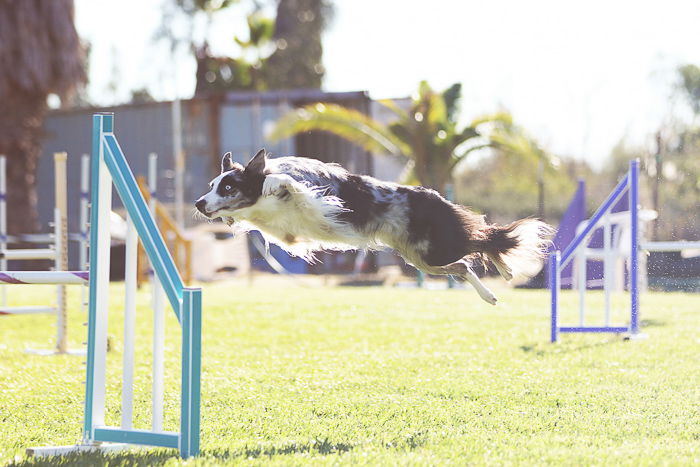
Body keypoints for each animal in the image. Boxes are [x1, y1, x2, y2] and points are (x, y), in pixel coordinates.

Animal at [196, 148, 552, 306]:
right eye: (212, 185)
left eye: (228, 187)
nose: (199, 203)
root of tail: (435, 195)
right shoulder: (287, 233)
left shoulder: (312, 194)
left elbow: (286, 182)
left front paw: (274, 184)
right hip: (422, 258)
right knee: (465, 263)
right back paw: (491, 292)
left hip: (437, 247)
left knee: (483, 240)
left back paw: (505, 272)